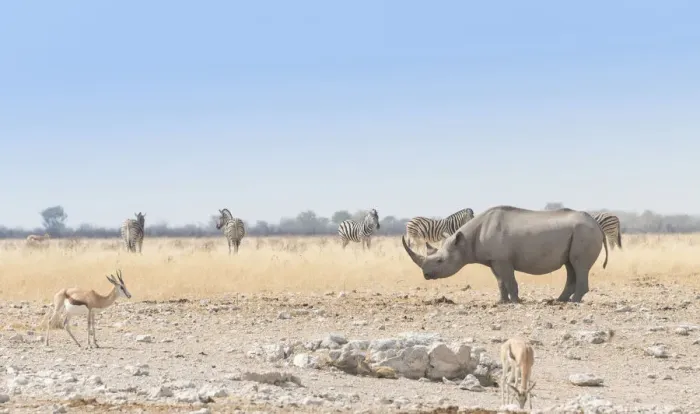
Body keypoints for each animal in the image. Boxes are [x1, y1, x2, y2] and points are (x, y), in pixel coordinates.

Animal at [402, 205, 608, 303]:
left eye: (440, 261)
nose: (426, 275)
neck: (464, 242)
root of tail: (597, 225)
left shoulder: (503, 260)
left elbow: (509, 280)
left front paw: (516, 302)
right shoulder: (494, 260)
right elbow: (500, 281)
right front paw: (502, 301)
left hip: (584, 232)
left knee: (579, 265)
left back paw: (573, 302)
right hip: (579, 232)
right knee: (570, 266)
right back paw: (559, 301)